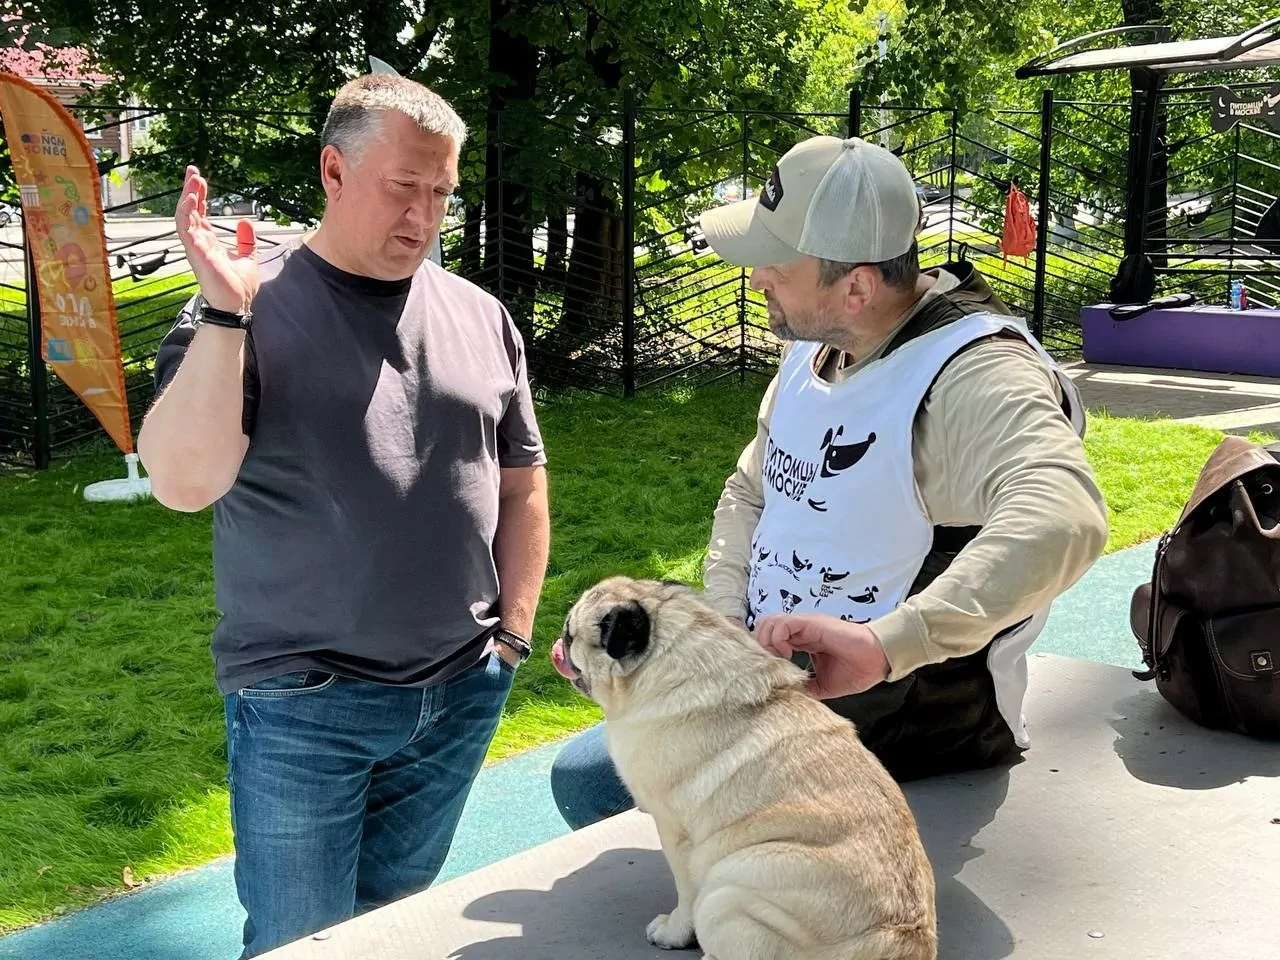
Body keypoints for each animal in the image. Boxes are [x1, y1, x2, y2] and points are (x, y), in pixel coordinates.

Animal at [550, 576, 937, 960]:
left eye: (570, 635)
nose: (557, 645)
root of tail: (898, 942)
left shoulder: (676, 833)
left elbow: (685, 893)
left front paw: (673, 932)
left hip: (725, 893)